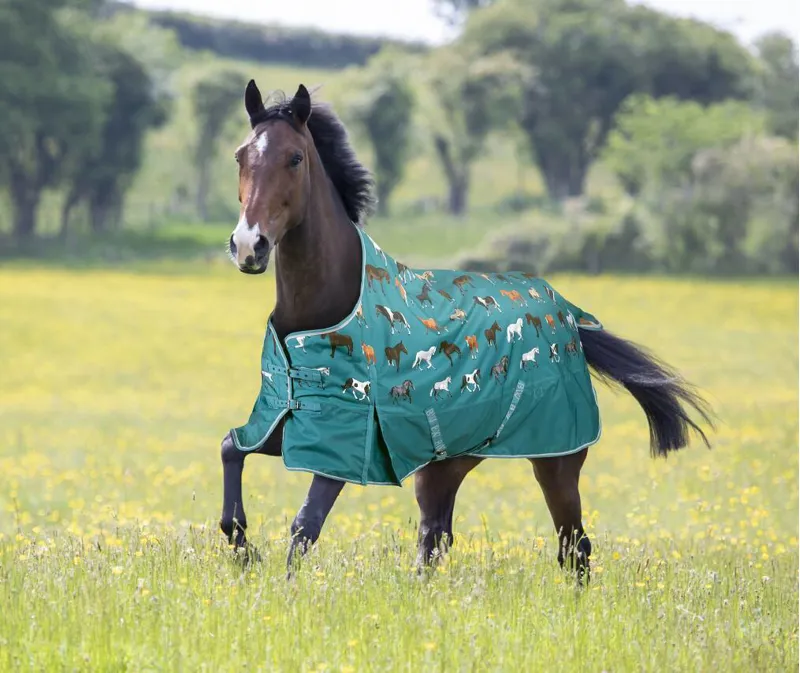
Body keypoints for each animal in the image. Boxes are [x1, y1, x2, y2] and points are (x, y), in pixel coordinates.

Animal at [220, 81, 712, 584]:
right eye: (241, 155)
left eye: (295, 158)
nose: (249, 246)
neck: (323, 307)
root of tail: (570, 318)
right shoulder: (283, 416)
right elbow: (231, 449)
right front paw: (241, 547)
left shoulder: (346, 440)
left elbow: (306, 524)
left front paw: (279, 583)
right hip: (446, 464)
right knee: (435, 538)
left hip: (555, 461)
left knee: (573, 545)